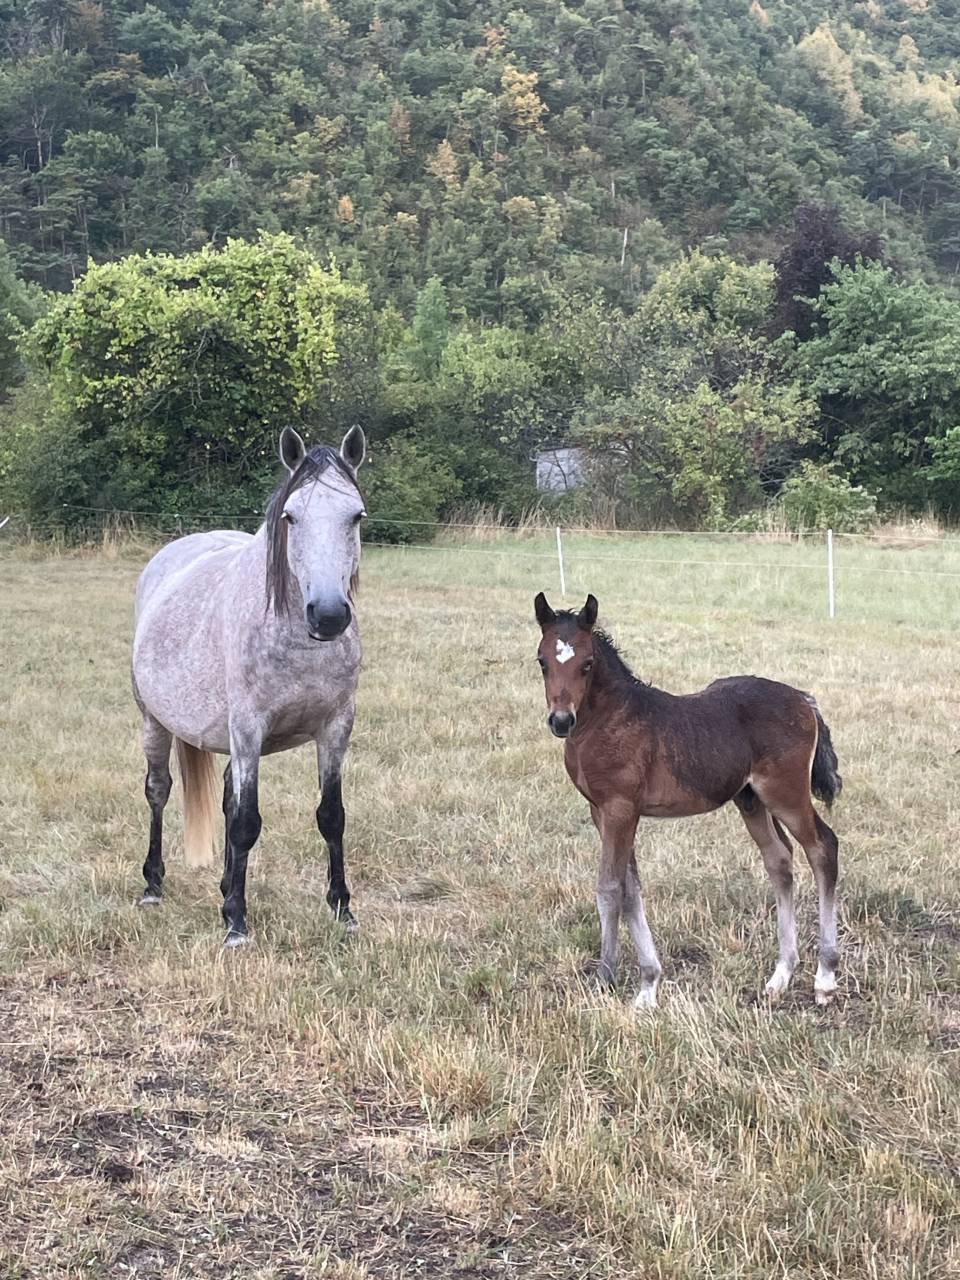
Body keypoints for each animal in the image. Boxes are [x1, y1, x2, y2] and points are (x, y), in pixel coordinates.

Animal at [131, 425, 367, 946]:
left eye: (356, 515)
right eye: (291, 516)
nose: (328, 615)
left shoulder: (335, 729)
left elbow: (332, 816)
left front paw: (342, 909)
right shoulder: (248, 729)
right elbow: (245, 823)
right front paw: (237, 923)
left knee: (225, 796)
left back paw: (222, 886)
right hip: (155, 721)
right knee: (159, 790)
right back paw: (153, 885)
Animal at [533, 592, 842, 1010]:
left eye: (587, 664)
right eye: (542, 661)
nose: (561, 721)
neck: (609, 721)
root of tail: (805, 700)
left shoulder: (620, 809)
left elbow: (610, 888)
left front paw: (606, 979)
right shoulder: (602, 811)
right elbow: (631, 890)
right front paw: (648, 985)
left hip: (786, 793)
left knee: (823, 847)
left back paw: (824, 977)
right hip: (751, 799)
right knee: (779, 859)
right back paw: (781, 975)